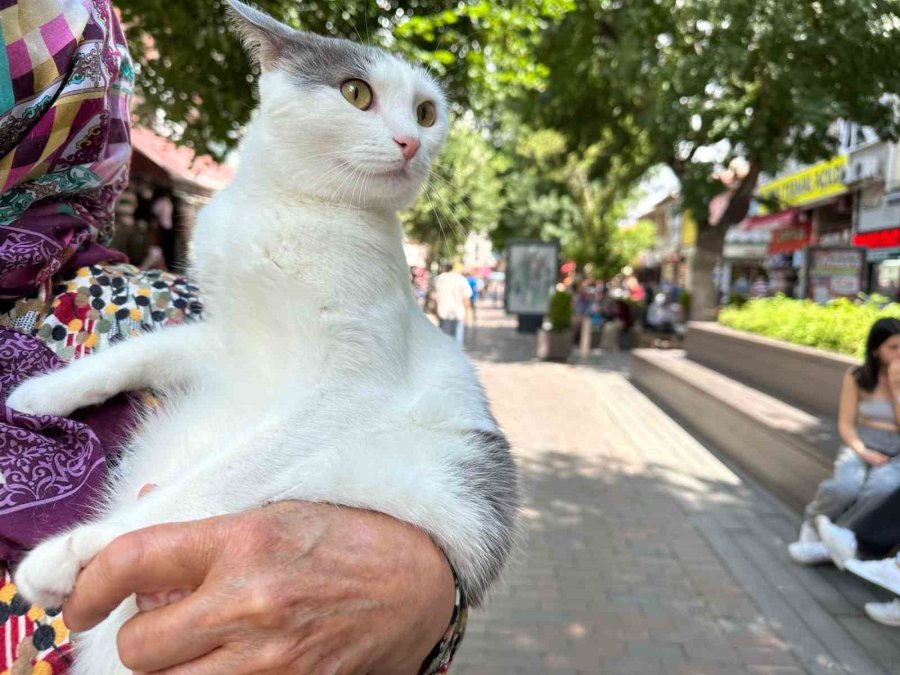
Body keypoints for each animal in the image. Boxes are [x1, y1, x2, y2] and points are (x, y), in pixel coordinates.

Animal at [7, 2, 516, 672]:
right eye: (357, 92)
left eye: (427, 112)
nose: (411, 141)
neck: (292, 208)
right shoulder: (225, 342)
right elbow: (139, 351)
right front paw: (41, 393)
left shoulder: (350, 390)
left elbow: (211, 479)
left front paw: (79, 551)